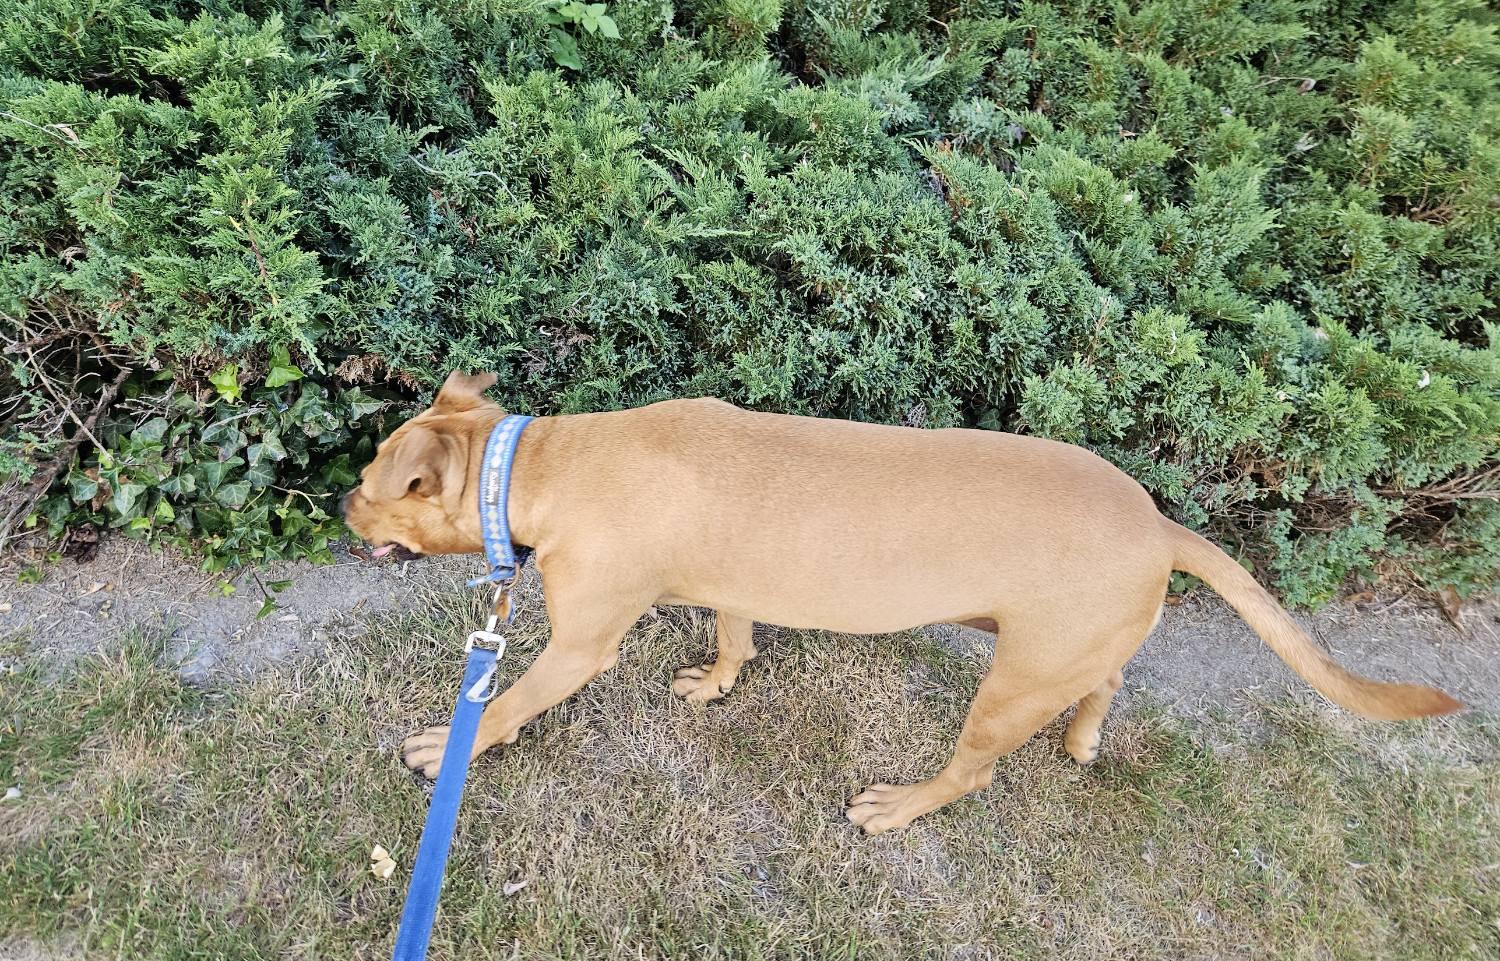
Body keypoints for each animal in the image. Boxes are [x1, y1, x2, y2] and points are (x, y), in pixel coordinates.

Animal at [345, 368, 1458, 833]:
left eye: (371, 478)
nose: (341, 510)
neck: (543, 463)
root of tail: (1160, 526)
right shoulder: (734, 586)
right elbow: (737, 639)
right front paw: (716, 682)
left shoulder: (580, 645)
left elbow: (507, 704)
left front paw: (446, 747)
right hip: (1068, 650)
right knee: (1105, 683)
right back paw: (1084, 739)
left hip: (1006, 689)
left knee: (972, 772)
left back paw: (899, 808)